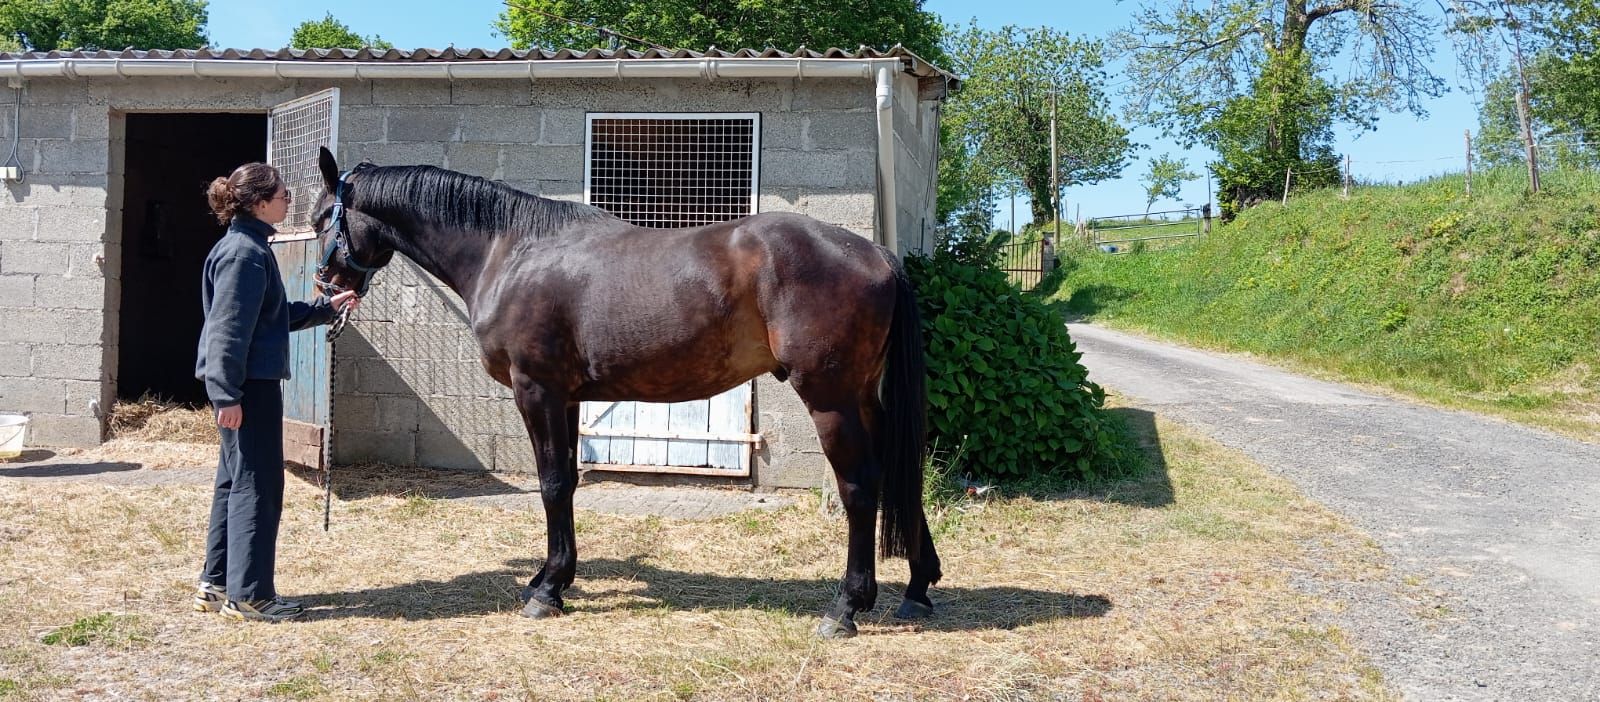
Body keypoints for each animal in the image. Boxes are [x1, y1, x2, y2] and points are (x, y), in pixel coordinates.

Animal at [309, 147, 940, 638]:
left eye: (319, 220)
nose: (324, 289)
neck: (508, 250)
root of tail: (877, 255)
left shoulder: (536, 391)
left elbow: (552, 483)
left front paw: (546, 592)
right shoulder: (566, 398)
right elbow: (564, 484)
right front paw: (553, 577)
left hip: (831, 398)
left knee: (861, 486)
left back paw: (846, 606)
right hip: (863, 397)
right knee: (899, 473)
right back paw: (918, 587)